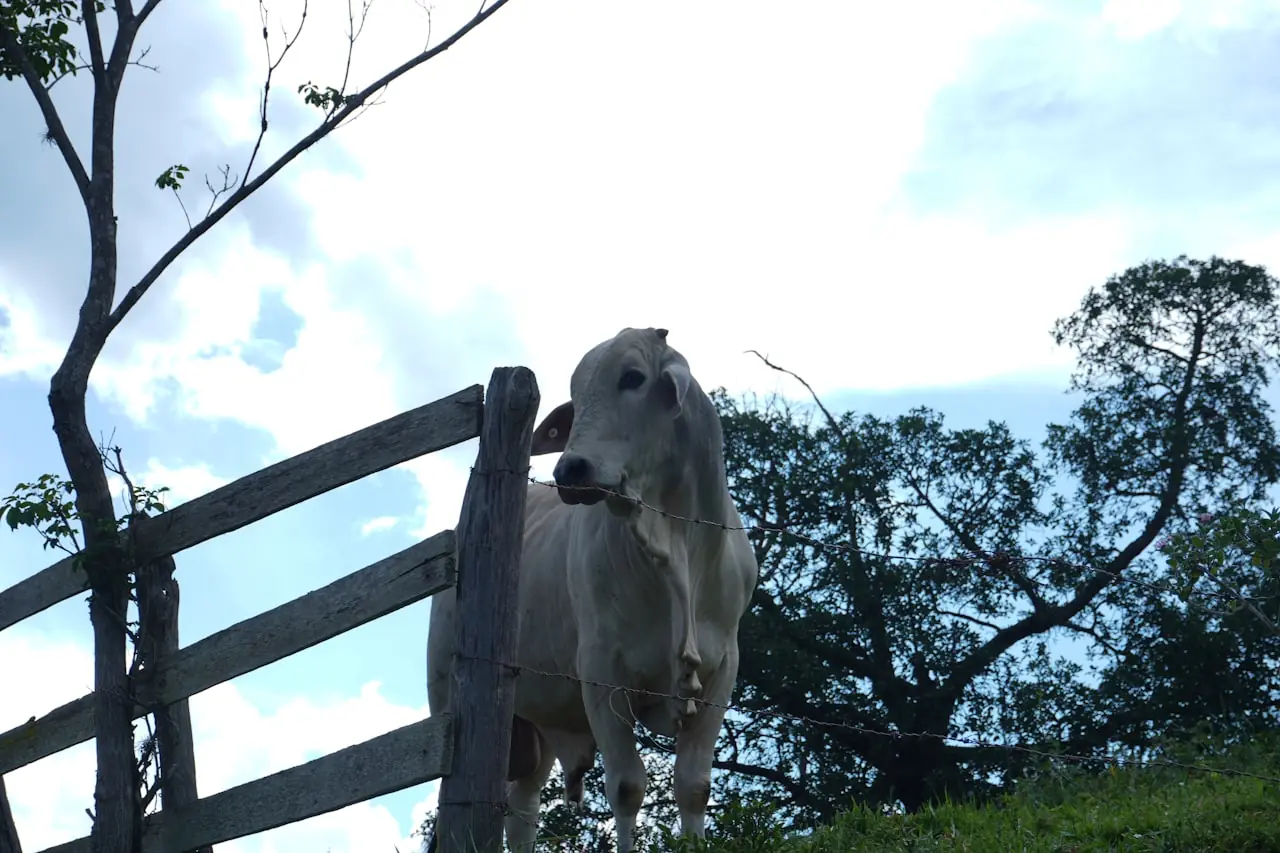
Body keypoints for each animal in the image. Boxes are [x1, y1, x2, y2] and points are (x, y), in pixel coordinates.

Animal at [427, 326, 759, 852]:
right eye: (577, 396)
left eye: (633, 378)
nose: (570, 471)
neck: (677, 542)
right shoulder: (603, 673)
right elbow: (627, 786)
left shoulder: (722, 671)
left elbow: (693, 787)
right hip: (448, 694)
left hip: (537, 723)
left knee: (522, 808)